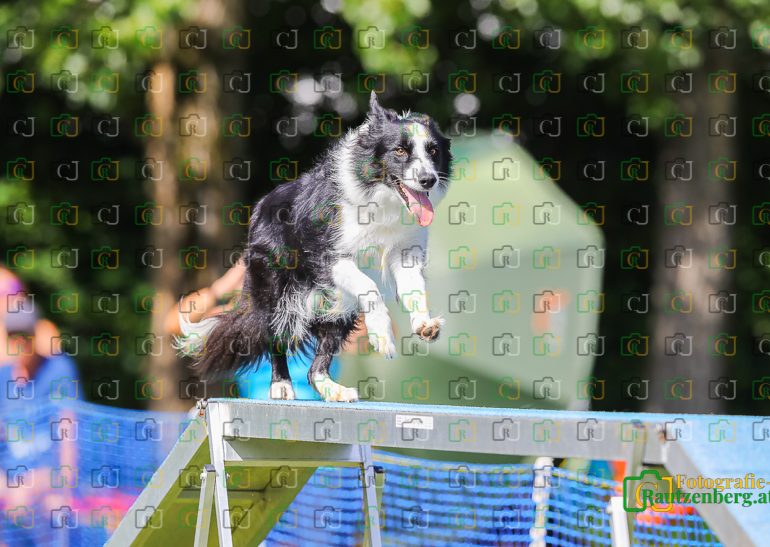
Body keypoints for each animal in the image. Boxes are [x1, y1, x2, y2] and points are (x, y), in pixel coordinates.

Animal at [179, 91, 452, 402]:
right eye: (400, 151)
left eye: (433, 151)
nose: (428, 179)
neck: (384, 200)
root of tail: (261, 206)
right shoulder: (330, 257)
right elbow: (369, 286)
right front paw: (382, 335)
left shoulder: (405, 253)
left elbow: (415, 289)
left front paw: (424, 325)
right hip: (277, 292)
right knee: (274, 338)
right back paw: (281, 385)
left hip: (339, 307)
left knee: (315, 366)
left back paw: (334, 390)